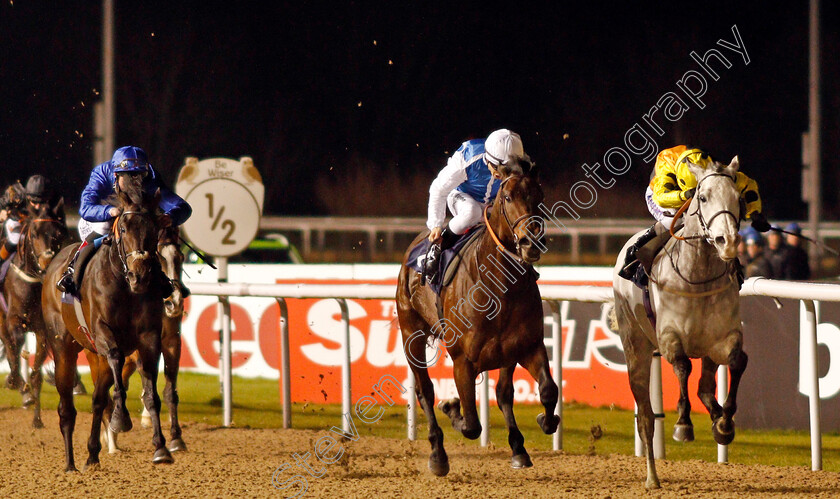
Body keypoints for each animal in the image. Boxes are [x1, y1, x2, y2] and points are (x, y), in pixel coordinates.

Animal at [0, 193, 67, 428]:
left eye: (57, 233)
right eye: (35, 233)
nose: (47, 261)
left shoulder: (42, 330)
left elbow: (37, 373)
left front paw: (37, 418)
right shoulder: (13, 320)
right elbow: (15, 346)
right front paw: (16, 382)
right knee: (10, 344)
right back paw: (15, 381)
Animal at [43, 186, 175, 470]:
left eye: (154, 229)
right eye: (123, 228)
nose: (140, 276)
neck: (125, 286)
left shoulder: (149, 337)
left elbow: (151, 392)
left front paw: (161, 447)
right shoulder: (103, 333)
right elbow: (116, 361)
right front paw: (121, 418)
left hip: (94, 355)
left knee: (97, 400)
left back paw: (93, 454)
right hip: (63, 348)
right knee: (66, 408)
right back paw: (69, 464)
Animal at [97, 228, 189, 458]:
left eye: (180, 257)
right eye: (159, 258)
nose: (174, 303)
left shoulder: (172, 341)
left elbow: (170, 391)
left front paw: (176, 438)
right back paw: (111, 440)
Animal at [396, 163, 556, 476]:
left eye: (540, 195)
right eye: (507, 197)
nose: (531, 242)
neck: (499, 287)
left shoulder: (528, 346)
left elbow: (546, 390)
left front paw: (544, 422)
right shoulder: (463, 360)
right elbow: (471, 424)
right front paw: (450, 408)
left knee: (504, 393)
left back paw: (518, 448)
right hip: (411, 336)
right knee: (425, 391)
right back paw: (438, 454)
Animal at [612, 158, 748, 490]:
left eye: (738, 198)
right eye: (703, 197)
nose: (728, 241)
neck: (698, 277)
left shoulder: (724, 337)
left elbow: (737, 362)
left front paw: (724, 423)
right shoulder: (669, 336)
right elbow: (683, 366)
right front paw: (684, 424)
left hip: (708, 351)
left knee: (706, 387)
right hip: (635, 346)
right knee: (646, 417)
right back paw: (652, 477)